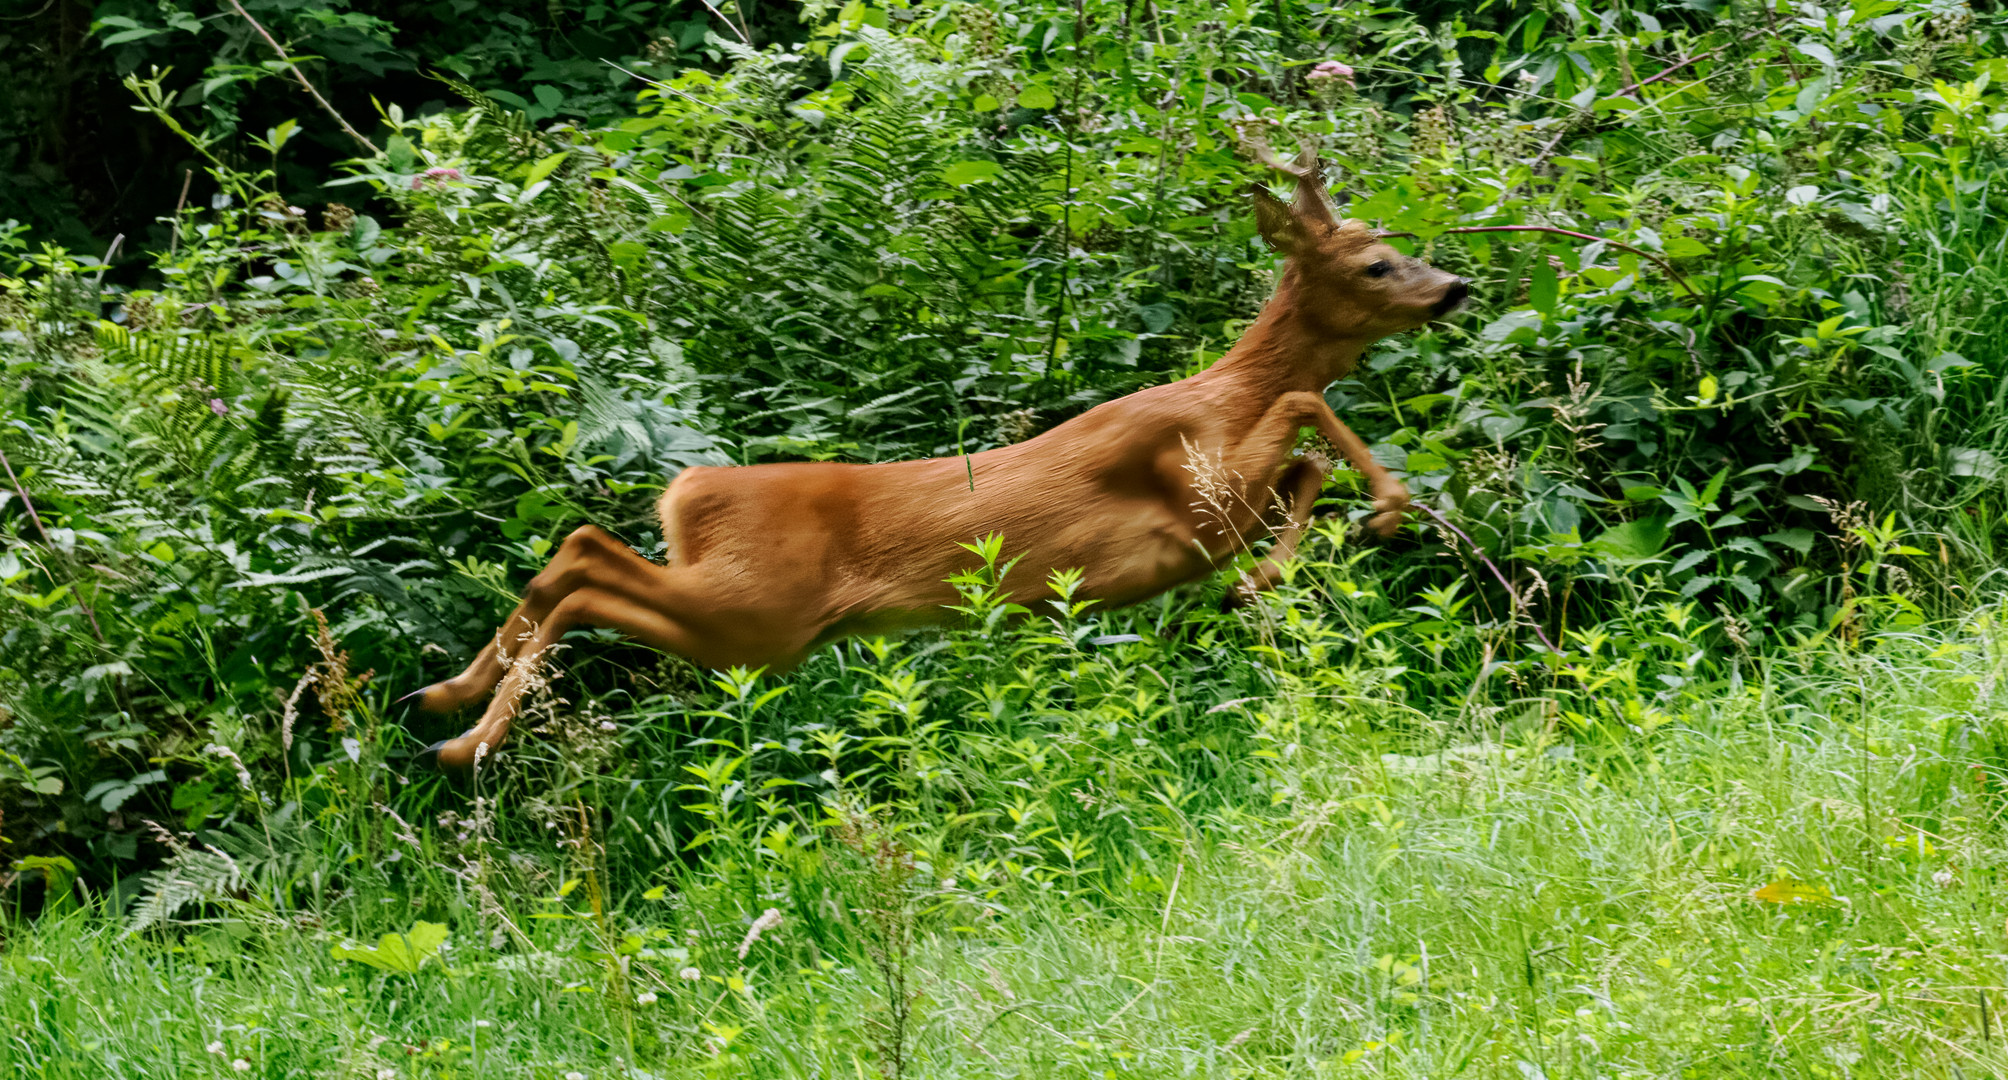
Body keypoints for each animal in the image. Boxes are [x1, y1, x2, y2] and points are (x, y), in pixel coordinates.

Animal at [411, 144, 1477, 766]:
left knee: (576, 553)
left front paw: (1267, 576)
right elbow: (1306, 407)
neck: (1218, 396)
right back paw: (462, 739)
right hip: (756, 615)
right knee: (587, 573)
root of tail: (690, 491)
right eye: (1376, 263)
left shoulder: (1223, 508)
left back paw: (444, 700)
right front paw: (1384, 508)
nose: (1455, 288)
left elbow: (1303, 467)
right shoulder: (1185, 490)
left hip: (748, 619)